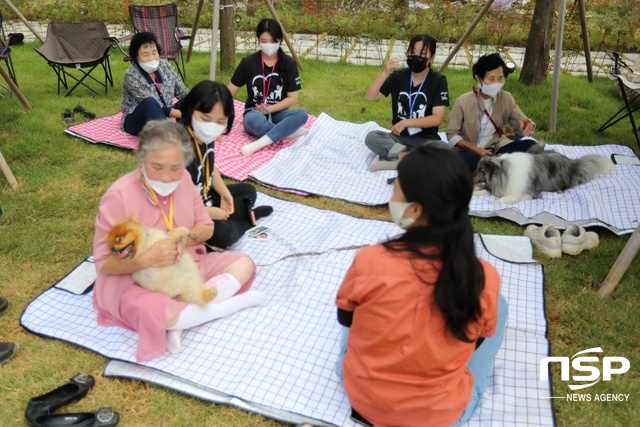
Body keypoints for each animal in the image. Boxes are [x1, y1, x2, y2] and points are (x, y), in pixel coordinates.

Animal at [472, 146, 612, 205]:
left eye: (480, 169)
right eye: (477, 168)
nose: (471, 177)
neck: (502, 171)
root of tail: (573, 164)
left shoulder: (523, 194)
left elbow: (505, 198)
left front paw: (493, 202)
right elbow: (483, 190)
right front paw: (475, 192)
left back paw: (560, 190)